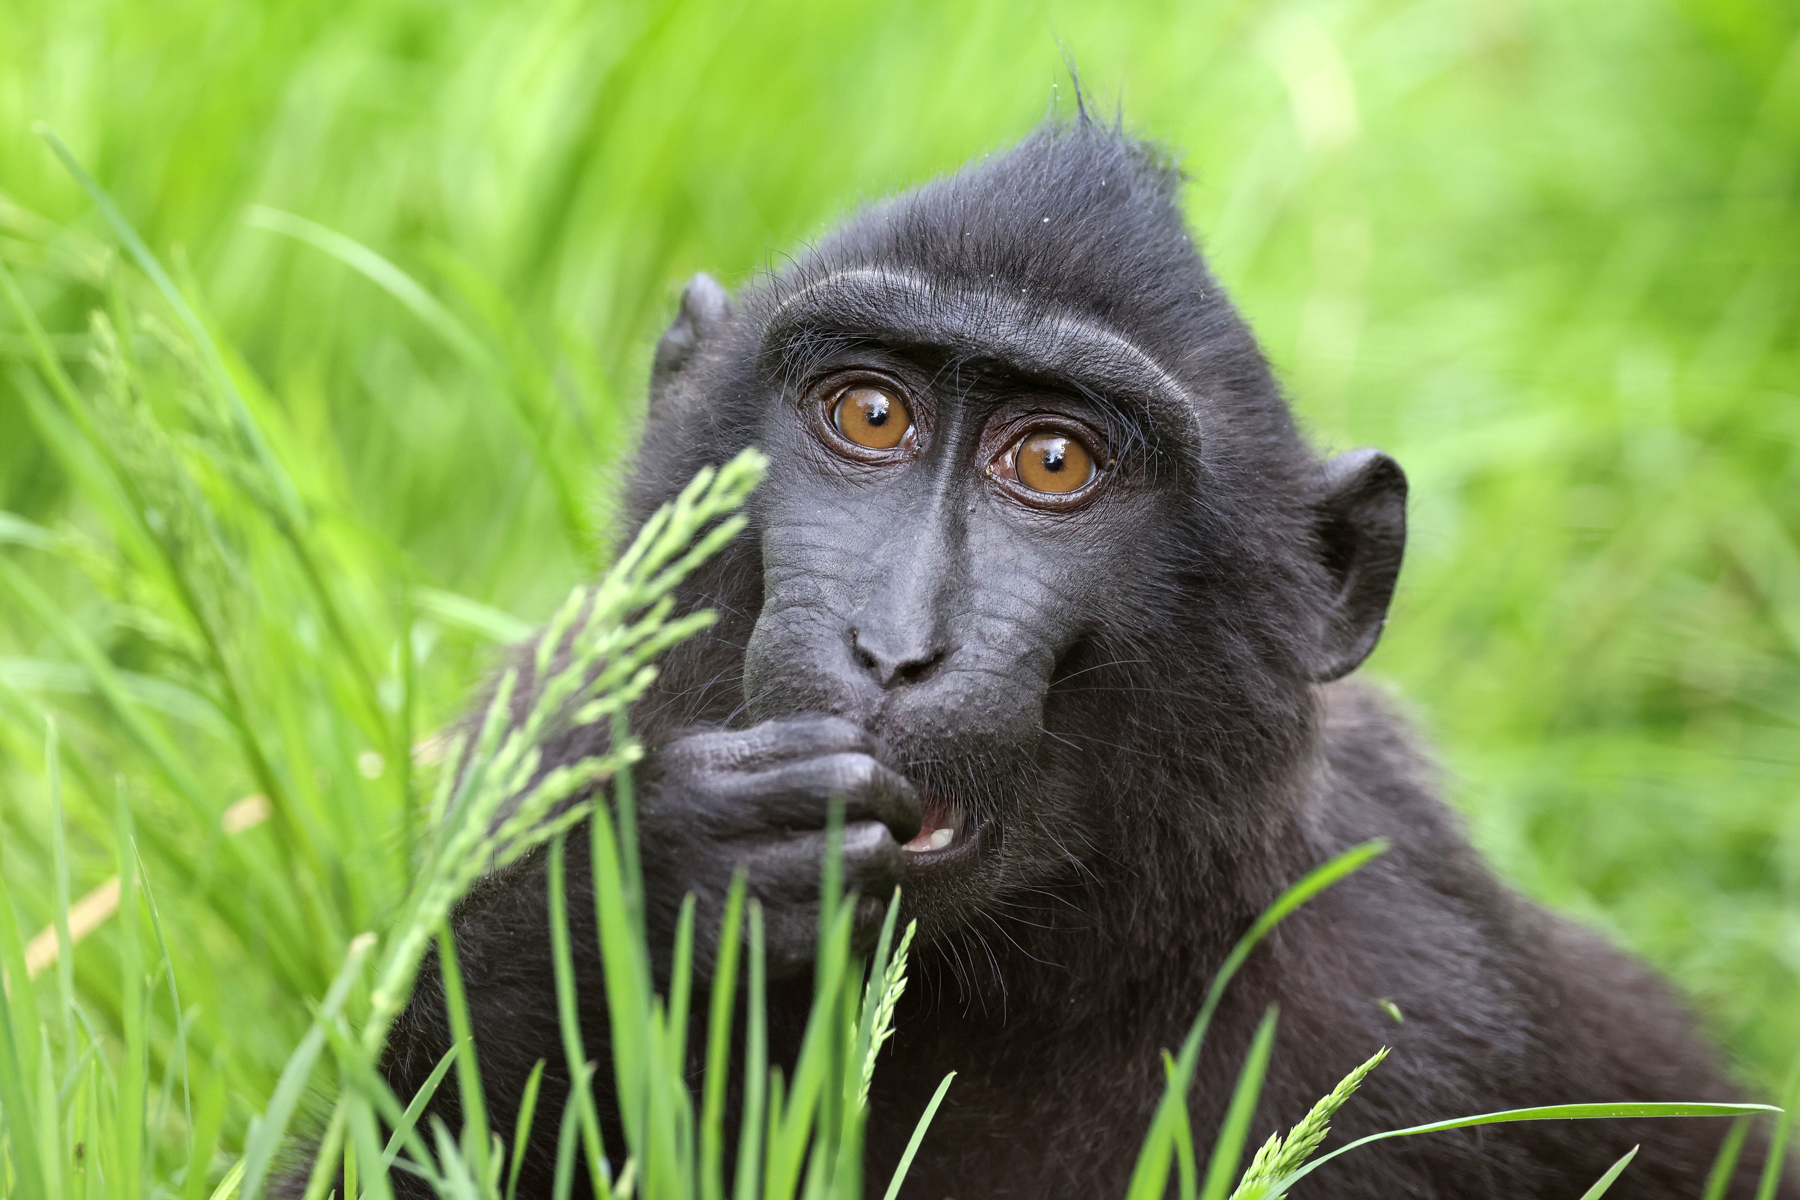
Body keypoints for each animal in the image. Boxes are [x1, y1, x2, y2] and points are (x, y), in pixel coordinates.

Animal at [350, 117, 1795, 1199]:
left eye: (1052, 461)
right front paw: (629, 894)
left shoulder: (1406, 1024)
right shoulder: (543, 731)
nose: (895, 647)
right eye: (870, 414)